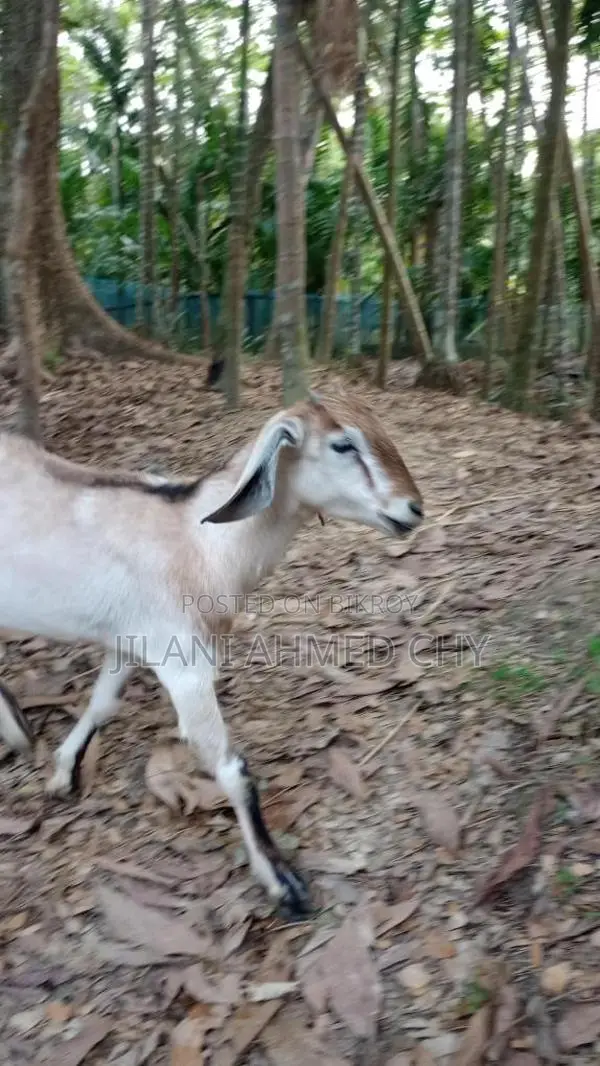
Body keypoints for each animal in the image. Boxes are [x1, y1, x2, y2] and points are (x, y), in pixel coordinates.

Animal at [0, 390, 423, 919]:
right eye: (343, 444)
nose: (413, 509)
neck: (198, 540)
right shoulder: (184, 666)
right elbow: (231, 769)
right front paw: (282, 882)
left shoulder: (130, 643)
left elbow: (101, 704)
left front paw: (61, 772)